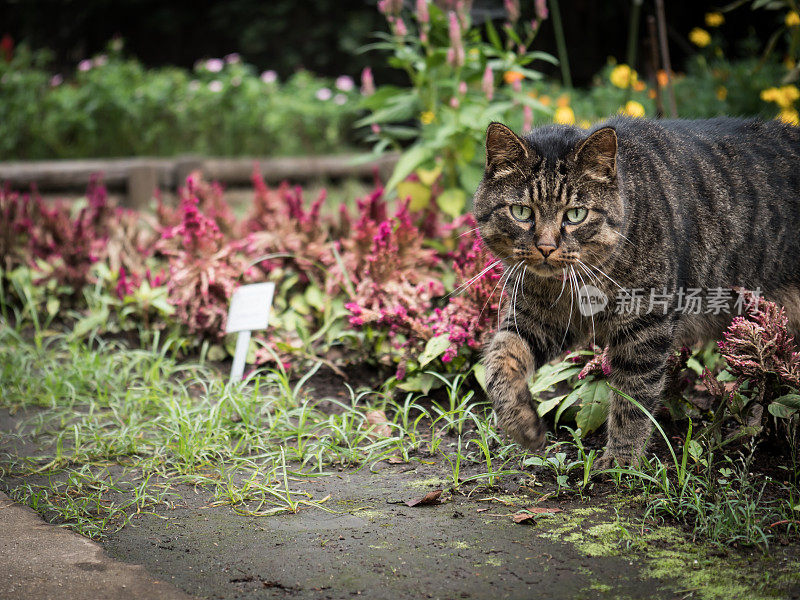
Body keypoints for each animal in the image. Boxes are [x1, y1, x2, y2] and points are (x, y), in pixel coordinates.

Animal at [472, 116, 800, 464]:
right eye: (521, 212)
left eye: (576, 214)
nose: (546, 248)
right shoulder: (538, 319)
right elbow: (499, 361)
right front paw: (521, 424)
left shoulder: (645, 327)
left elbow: (633, 399)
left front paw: (620, 461)